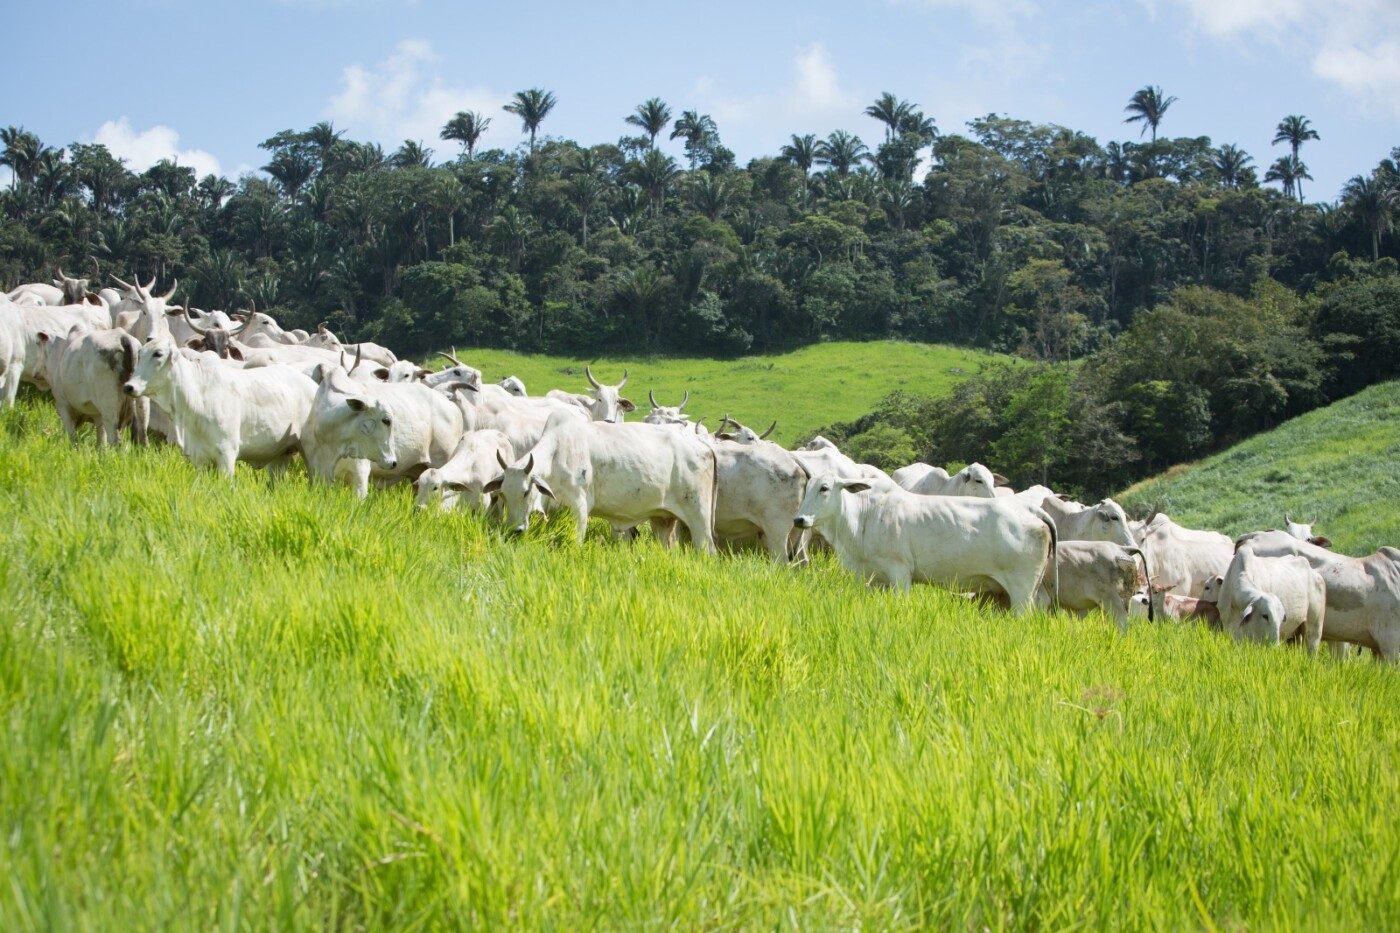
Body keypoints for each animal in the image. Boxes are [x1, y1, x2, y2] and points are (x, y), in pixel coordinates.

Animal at [123, 332, 317, 476]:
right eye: (139, 354)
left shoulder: (226, 454)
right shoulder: (199, 458)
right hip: (280, 456)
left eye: (158, 353)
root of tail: (311, 385)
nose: (129, 386)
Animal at [484, 411, 722, 546]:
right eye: (503, 494)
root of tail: (705, 446)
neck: (557, 453)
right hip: (662, 519)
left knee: (706, 548)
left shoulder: (579, 507)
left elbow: (576, 541)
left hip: (699, 517)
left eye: (526, 492)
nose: (514, 531)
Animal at [795, 473, 1052, 610]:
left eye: (824, 488)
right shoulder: (870, 578)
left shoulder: (899, 572)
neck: (864, 516)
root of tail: (1030, 510)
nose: (799, 519)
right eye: (806, 488)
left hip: (1022, 592)